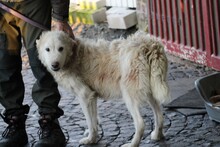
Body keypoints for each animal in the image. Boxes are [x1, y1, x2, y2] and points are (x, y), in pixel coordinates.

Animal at [36, 30, 171, 146]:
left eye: (60, 48)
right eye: (47, 49)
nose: (55, 65)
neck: (72, 57)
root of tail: (149, 44)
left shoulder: (84, 95)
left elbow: (90, 121)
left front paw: (90, 139)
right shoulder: (92, 96)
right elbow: (94, 119)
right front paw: (93, 135)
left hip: (129, 95)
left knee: (140, 123)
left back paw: (132, 144)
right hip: (150, 92)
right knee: (160, 116)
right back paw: (157, 135)